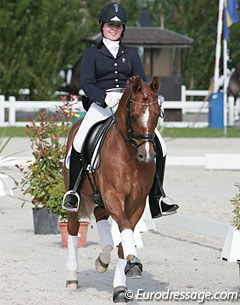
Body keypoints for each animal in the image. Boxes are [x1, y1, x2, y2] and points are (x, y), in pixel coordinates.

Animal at [62, 76, 160, 302]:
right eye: (134, 116)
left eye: (157, 113)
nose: (147, 156)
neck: (130, 155)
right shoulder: (113, 196)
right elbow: (124, 228)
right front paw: (134, 263)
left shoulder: (136, 204)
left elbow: (125, 237)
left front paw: (121, 287)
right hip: (76, 199)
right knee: (72, 229)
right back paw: (72, 278)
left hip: (101, 199)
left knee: (100, 215)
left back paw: (103, 260)